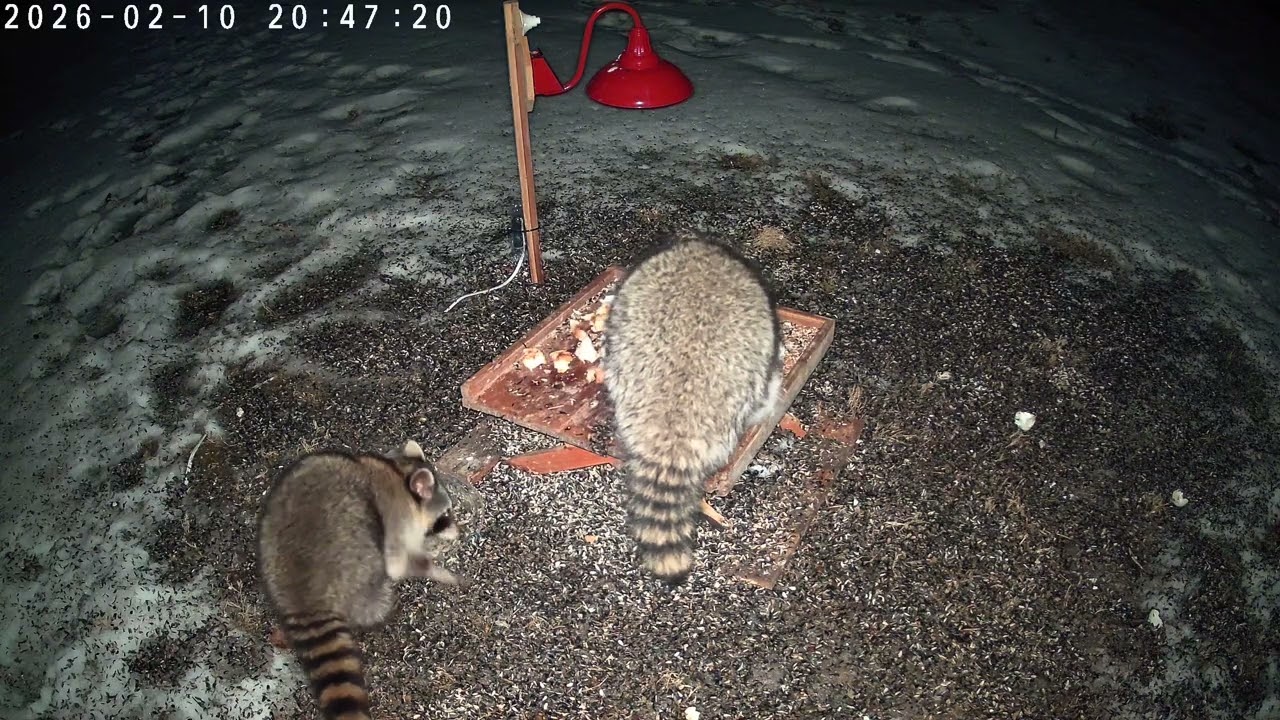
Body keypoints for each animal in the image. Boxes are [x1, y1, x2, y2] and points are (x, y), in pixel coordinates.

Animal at [256, 440, 462, 720]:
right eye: (443, 515)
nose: (456, 529)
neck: (398, 473)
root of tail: (305, 599)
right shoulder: (396, 518)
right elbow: (398, 564)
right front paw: (434, 567)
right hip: (360, 567)